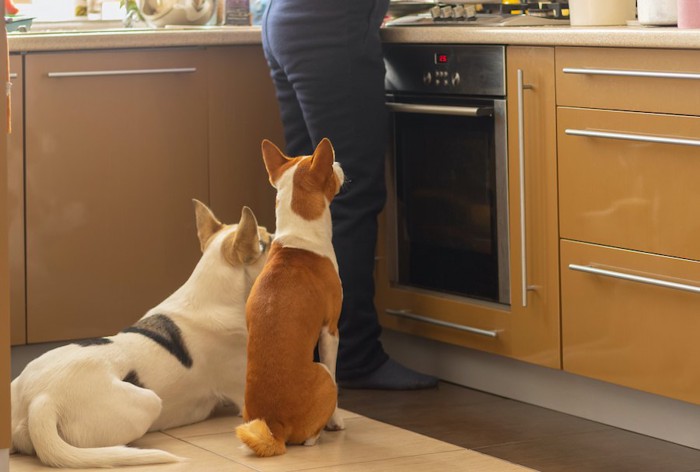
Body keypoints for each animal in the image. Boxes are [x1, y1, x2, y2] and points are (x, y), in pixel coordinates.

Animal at [235, 138, 344, 456]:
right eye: (331, 166)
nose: (339, 163)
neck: (298, 239)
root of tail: (275, 427)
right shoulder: (330, 330)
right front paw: (336, 422)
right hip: (323, 374)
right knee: (309, 435)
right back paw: (318, 434)